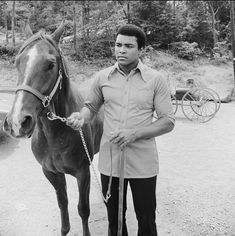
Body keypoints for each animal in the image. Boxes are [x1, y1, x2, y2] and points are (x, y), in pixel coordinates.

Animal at [2, 20, 103, 236]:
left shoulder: (83, 173)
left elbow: (83, 209)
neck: (55, 135)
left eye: (50, 64)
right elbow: (62, 204)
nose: (17, 122)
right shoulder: (51, 172)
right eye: (17, 62)